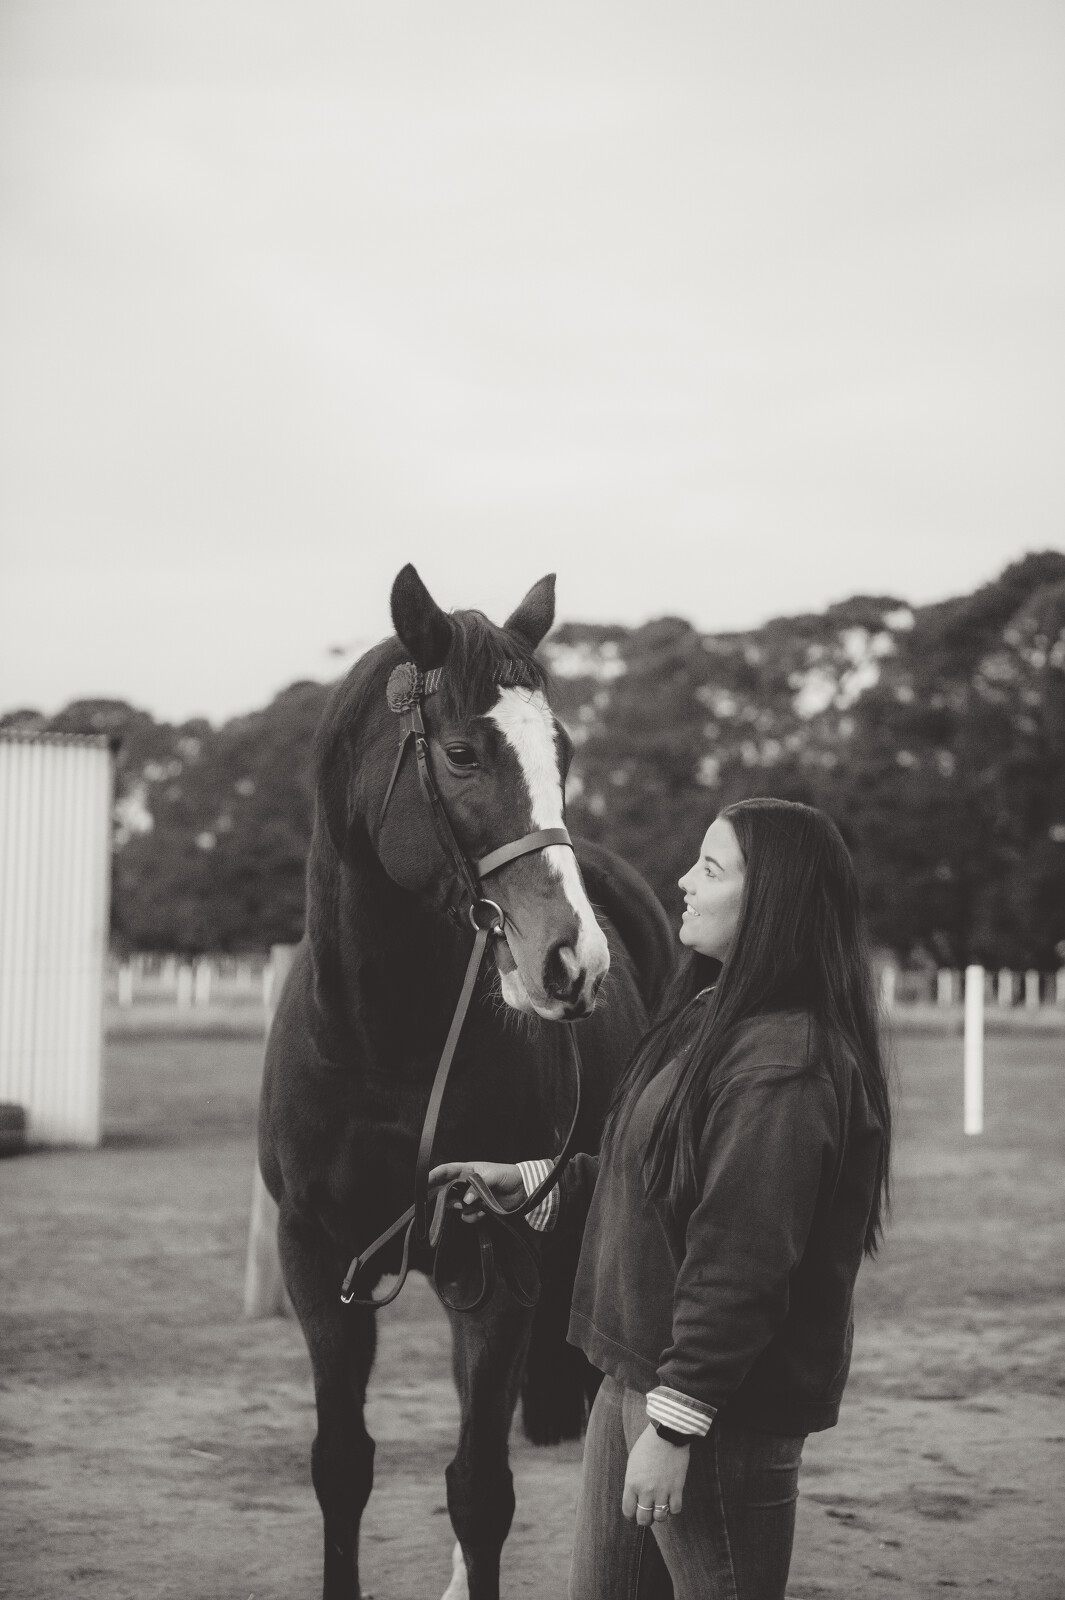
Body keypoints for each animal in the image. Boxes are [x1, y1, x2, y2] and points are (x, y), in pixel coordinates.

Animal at [257, 564, 675, 1600]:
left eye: (561, 749)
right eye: (459, 753)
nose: (573, 962)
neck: (383, 1045)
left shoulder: (499, 1258)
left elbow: (481, 1489)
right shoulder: (317, 1259)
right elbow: (341, 1465)